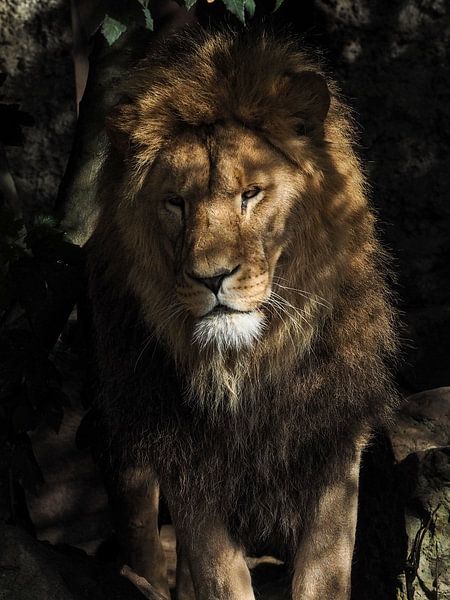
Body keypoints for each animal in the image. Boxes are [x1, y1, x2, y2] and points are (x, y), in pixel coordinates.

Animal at [87, 27, 398, 600]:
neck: (248, 362)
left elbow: (324, 572)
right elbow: (219, 577)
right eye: (175, 203)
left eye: (251, 194)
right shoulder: (185, 455)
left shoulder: (333, 435)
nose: (212, 278)